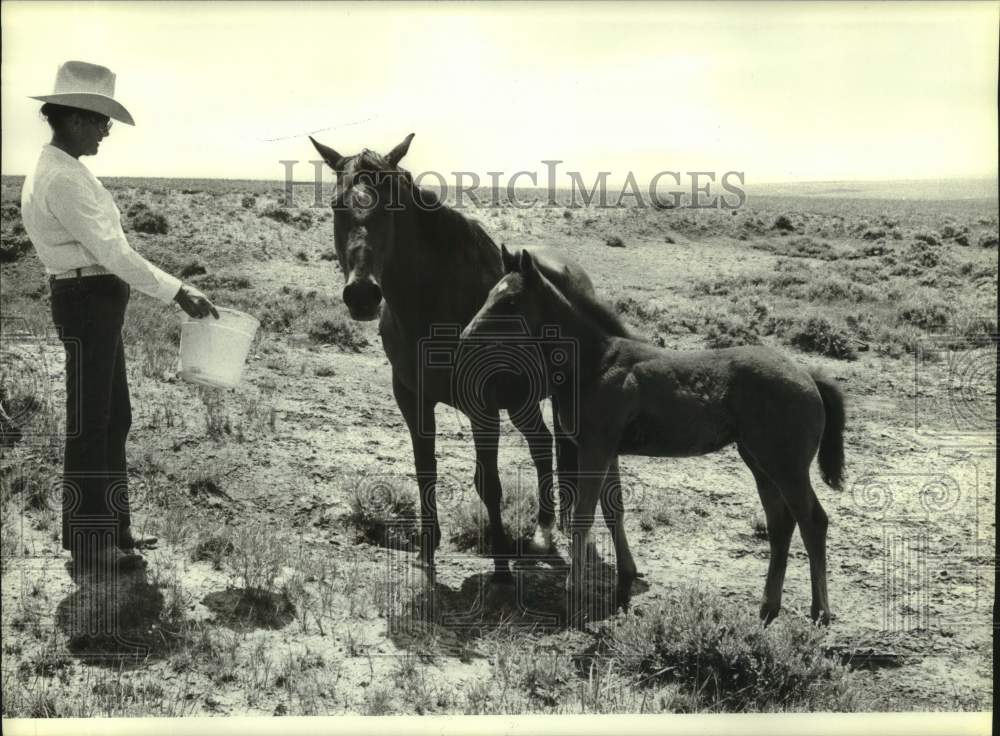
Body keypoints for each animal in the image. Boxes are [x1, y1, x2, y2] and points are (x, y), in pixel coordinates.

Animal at [310, 134, 624, 580]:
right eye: (337, 205)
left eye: (391, 205)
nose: (362, 294)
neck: (434, 306)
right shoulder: (412, 398)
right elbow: (426, 470)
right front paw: (427, 551)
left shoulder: (483, 405)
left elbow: (488, 483)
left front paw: (501, 564)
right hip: (523, 402)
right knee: (542, 444)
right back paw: (544, 531)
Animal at [460, 250, 844, 624]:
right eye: (490, 293)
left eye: (510, 301)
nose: (466, 337)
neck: (595, 363)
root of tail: (808, 375)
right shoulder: (608, 450)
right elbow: (614, 510)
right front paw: (624, 581)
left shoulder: (595, 448)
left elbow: (584, 517)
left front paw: (574, 596)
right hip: (759, 461)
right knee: (781, 525)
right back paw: (768, 608)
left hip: (786, 466)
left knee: (813, 521)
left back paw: (820, 612)